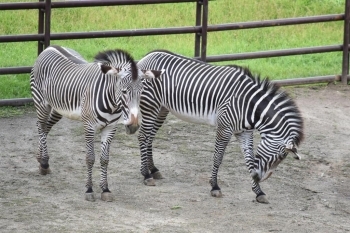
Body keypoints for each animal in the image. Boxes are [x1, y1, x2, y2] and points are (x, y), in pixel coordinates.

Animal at [30, 44, 161, 201]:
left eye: (141, 92)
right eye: (124, 91)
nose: (133, 125)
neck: (112, 104)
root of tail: (50, 47)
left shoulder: (110, 128)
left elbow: (105, 159)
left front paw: (105, 189)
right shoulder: (89, 127)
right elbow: (90, 158)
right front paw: (89, 189)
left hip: (58, 108)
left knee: (45, 127)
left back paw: (41, 159)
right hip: (41, 102)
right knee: (41, 126)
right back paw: (44, 163)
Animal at [137, 50, 304, 203]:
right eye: (280, 156)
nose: (257, 177)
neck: (248, 105)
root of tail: (146, 57)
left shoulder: (244, 132)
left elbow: (249, 160)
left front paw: (258, 191)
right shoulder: (224, 128)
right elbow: (217, 158)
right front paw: (215, 187)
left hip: (161, 109)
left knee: (150, 137)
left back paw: (153, 170)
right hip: (150, 105)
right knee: (143, 136)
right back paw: (146, 174)